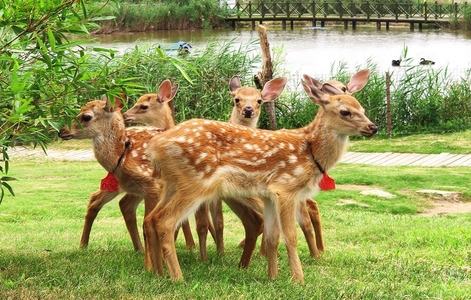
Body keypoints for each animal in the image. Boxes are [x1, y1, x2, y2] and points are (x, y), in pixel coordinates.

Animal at [59, 78, 197, 253]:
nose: (61, 131)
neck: (124, 154)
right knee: (102, 201)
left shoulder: (151, 185)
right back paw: (85, 245)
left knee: (113, 203)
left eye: (86, 116)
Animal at [144, 74, 380, 282]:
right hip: (195, 181)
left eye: (363, 109)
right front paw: (298, 280)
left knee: (151, 218)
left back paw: (159, 273)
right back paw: (178, 278)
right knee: (165, 221)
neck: (310, 151)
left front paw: (272, 277)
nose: (373, 127)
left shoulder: (268, 195)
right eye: (345, 112)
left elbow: (272, 236)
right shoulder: (285, 188)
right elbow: (290, 236)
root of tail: (155, 146)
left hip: (172, 183)